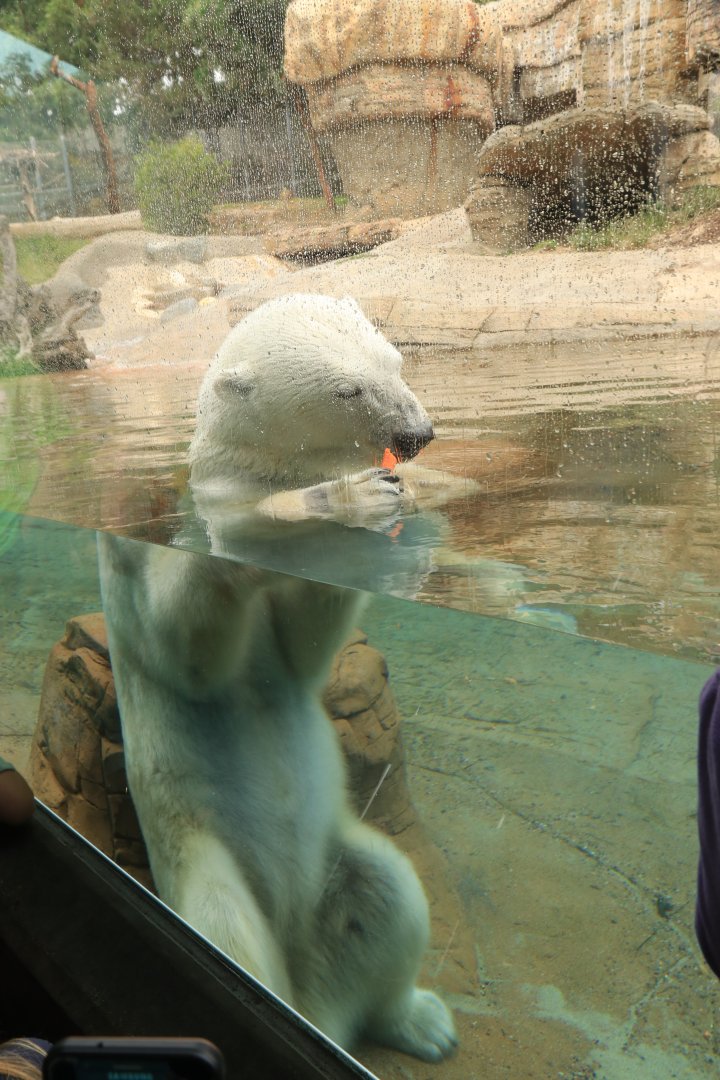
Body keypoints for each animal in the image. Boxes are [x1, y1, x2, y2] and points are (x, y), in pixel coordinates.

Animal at [98, 294, 458, 1062]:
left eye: (396, 360)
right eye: (347, 390)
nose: (416, 435)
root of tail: (305, 990)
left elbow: (299, 647)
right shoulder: (160, 538)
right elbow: (186, 647)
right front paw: (349, 497)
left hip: (338, 863)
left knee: (388, 888)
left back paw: (418, 1021)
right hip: (204, 860)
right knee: (224, 931)